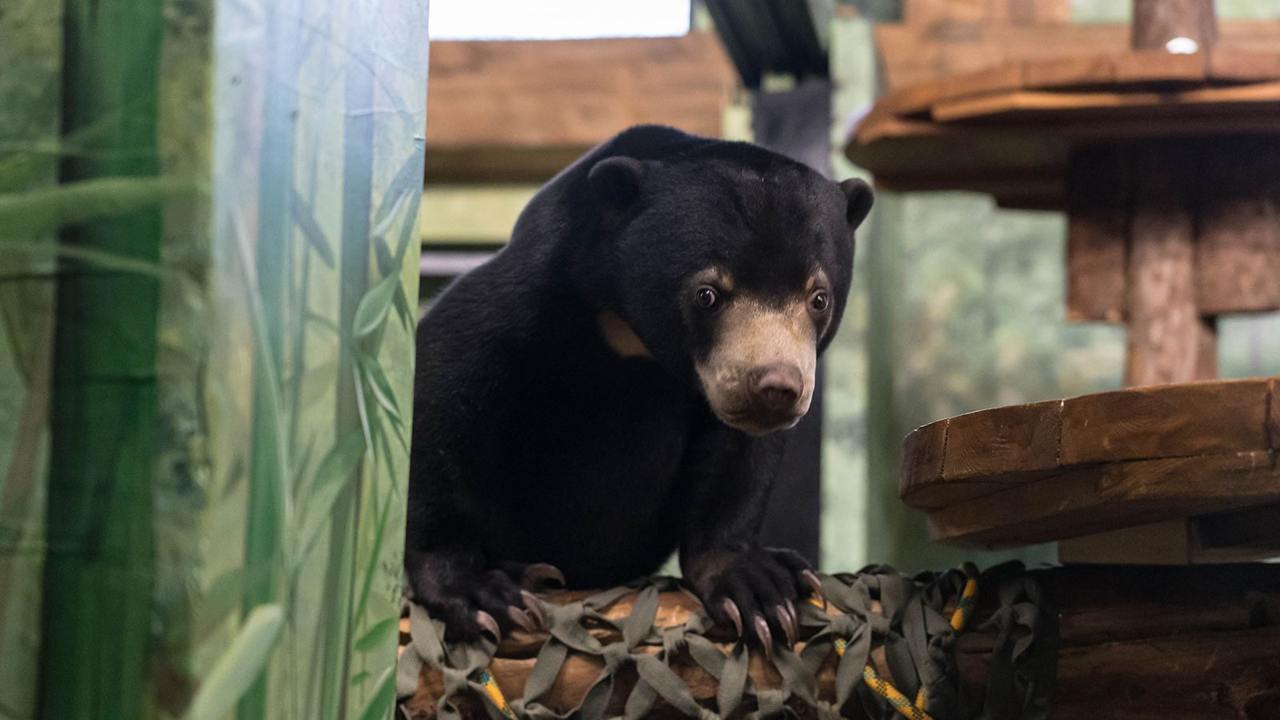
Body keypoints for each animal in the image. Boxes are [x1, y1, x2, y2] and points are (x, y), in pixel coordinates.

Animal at [404, 121, 875, 645]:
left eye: (818, 297)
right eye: (707, 294)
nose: (775, 386)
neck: (629, 334)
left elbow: (738, 457)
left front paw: (760, 589)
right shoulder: (523, 297)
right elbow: (440, 389)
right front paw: (481, 592)